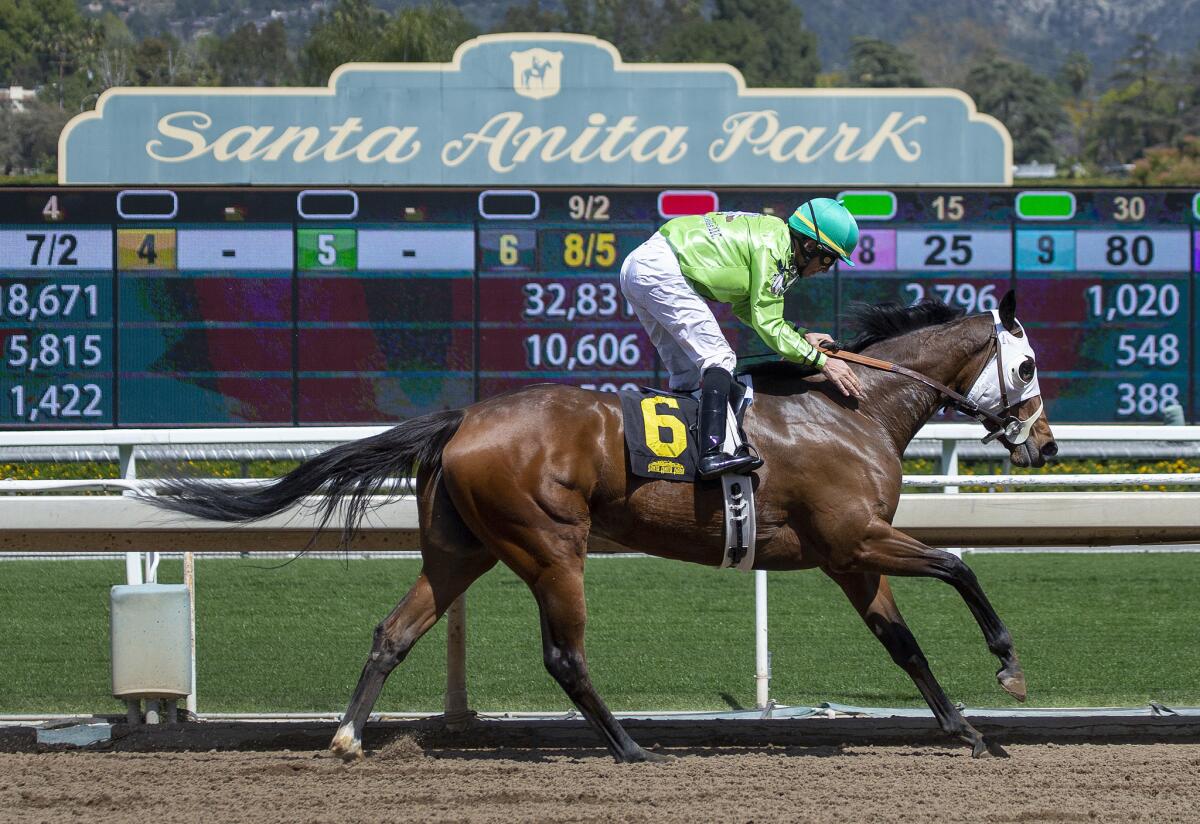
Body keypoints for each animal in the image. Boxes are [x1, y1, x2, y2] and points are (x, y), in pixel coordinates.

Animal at [145, 293, 1056, 762]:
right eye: (1027, 365)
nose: (1044, 445)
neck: (850, 410)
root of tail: (461, 419)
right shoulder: (857, 539)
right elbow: (960, 566)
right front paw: (1009, 668)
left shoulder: (850, 558)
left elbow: (905, 646)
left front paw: (968, 730)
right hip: (552, 545)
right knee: (564, 655)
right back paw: (629, 746)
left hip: (459, 551)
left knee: (393, 631)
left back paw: (345, 738)